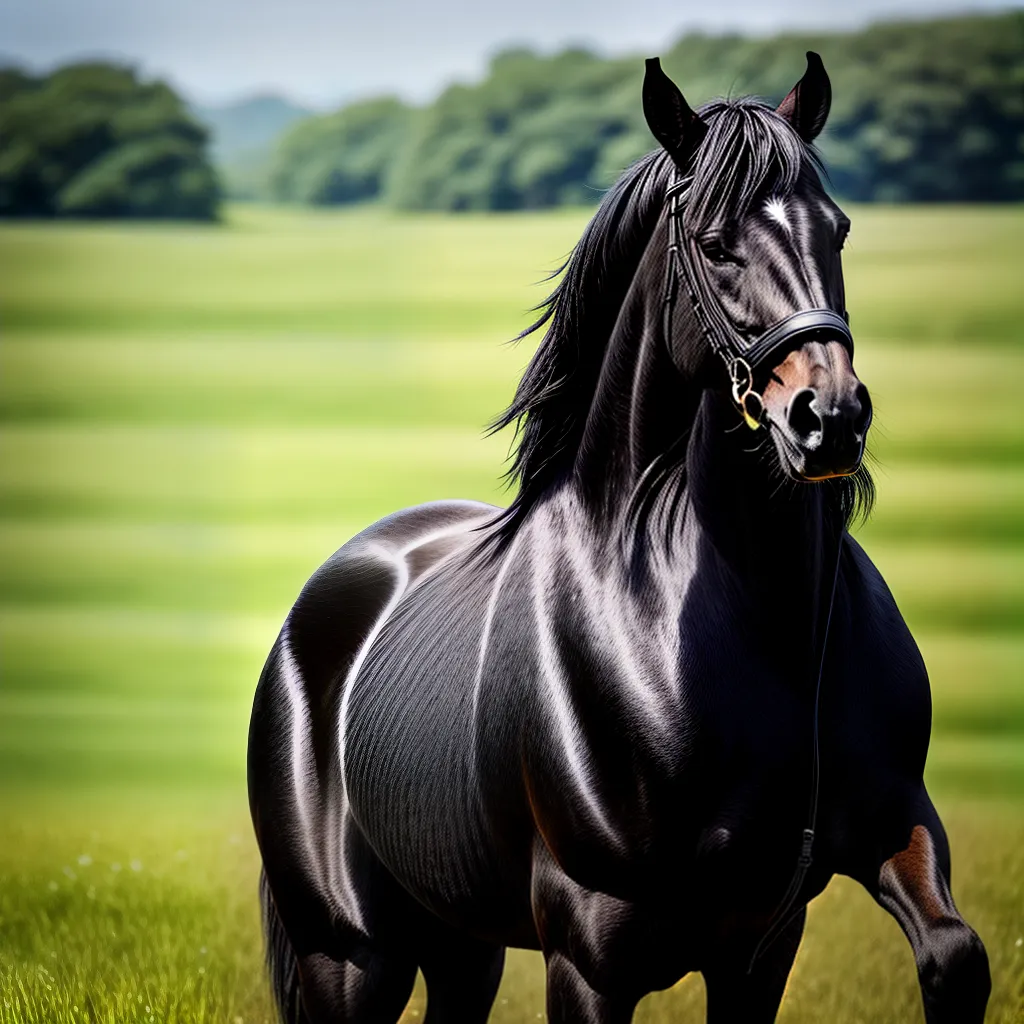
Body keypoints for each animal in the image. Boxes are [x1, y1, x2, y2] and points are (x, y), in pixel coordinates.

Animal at [247, 53, 991, 1023]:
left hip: (463, 948)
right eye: (713, 243)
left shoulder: (793, 909)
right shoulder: (592, 957)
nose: (829, 419)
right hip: (352, 955)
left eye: (838, 229)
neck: (769, 633)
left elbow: (955, 953)